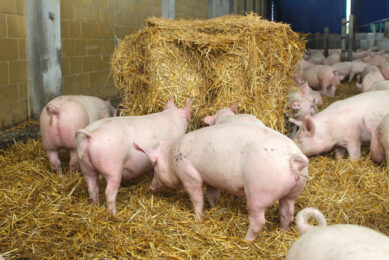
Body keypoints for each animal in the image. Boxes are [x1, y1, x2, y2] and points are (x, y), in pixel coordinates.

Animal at [135, 110, 310, 241]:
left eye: (155, 166)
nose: (151, 186)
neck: (171, 157)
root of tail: (292, 158)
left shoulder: (189, 175)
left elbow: (197, 198)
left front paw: (199, 219)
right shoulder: (212, 180)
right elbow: (212, 195)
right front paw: (214, 207)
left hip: (259, 193)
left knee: (259, 221)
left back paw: (246, 240)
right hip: (294, 191)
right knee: (287, 213)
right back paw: (282, 231)